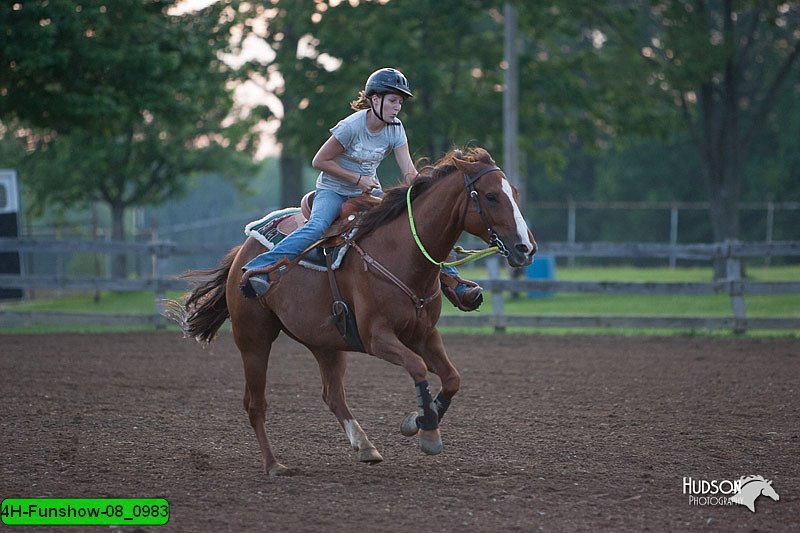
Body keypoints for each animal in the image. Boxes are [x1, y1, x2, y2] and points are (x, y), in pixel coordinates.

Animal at [171, 147, 536, 474]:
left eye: (516, 193)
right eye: (491, 196)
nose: (526, 248)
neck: (400, 252)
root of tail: (242, 255)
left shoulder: (424, 334)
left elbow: (452, 378)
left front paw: (418, 420)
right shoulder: (377, 337)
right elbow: (418, 368)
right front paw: (426, 429)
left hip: (326, 343)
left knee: (332, 394)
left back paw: (365, 446)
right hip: (253, 339)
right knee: (255, 403)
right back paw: (274, 465)